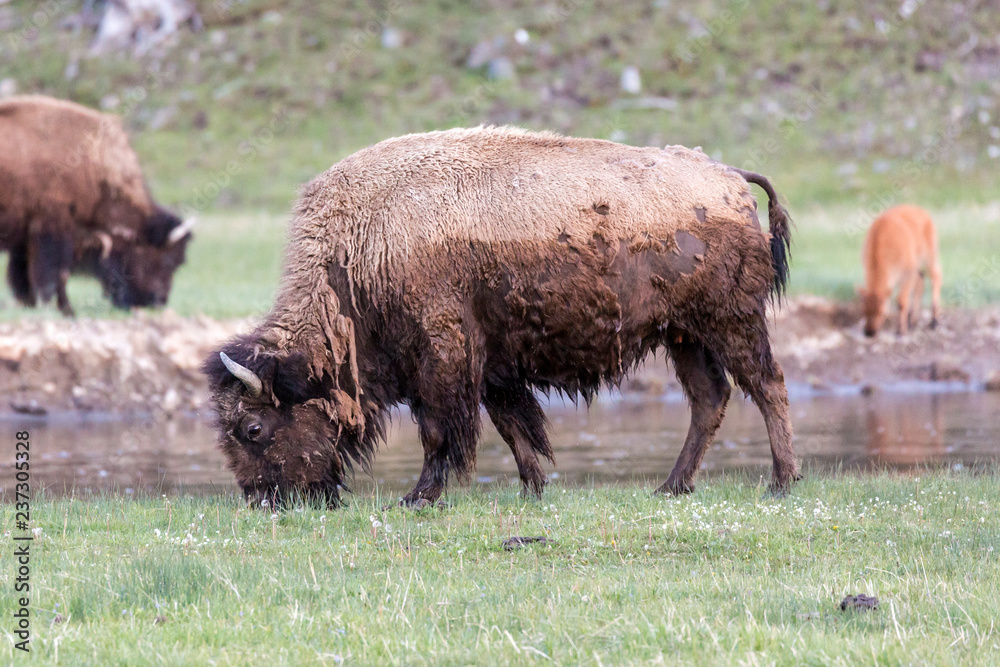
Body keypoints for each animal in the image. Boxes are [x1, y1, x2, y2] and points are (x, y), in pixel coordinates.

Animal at [0, 95, 193, 318]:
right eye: (169, 262)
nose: (157, 302)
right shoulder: (54, 231)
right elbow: (55, 275)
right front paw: (66, 310)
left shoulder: (27, 239)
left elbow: (24, 276)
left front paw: (32, 304)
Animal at [203, 128, 796, 508]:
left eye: (252, 427)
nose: (265, 501)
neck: (358, 254)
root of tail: (728, 177)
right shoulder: (492, 368)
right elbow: (513, 426)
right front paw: (533, 488)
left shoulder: (442, 359)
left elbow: (440, 431)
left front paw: (418, 497)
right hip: (684, 335)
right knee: (710, 398)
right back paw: (672, 486)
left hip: (731, 322)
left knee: (767, 386)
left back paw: (782, 481)